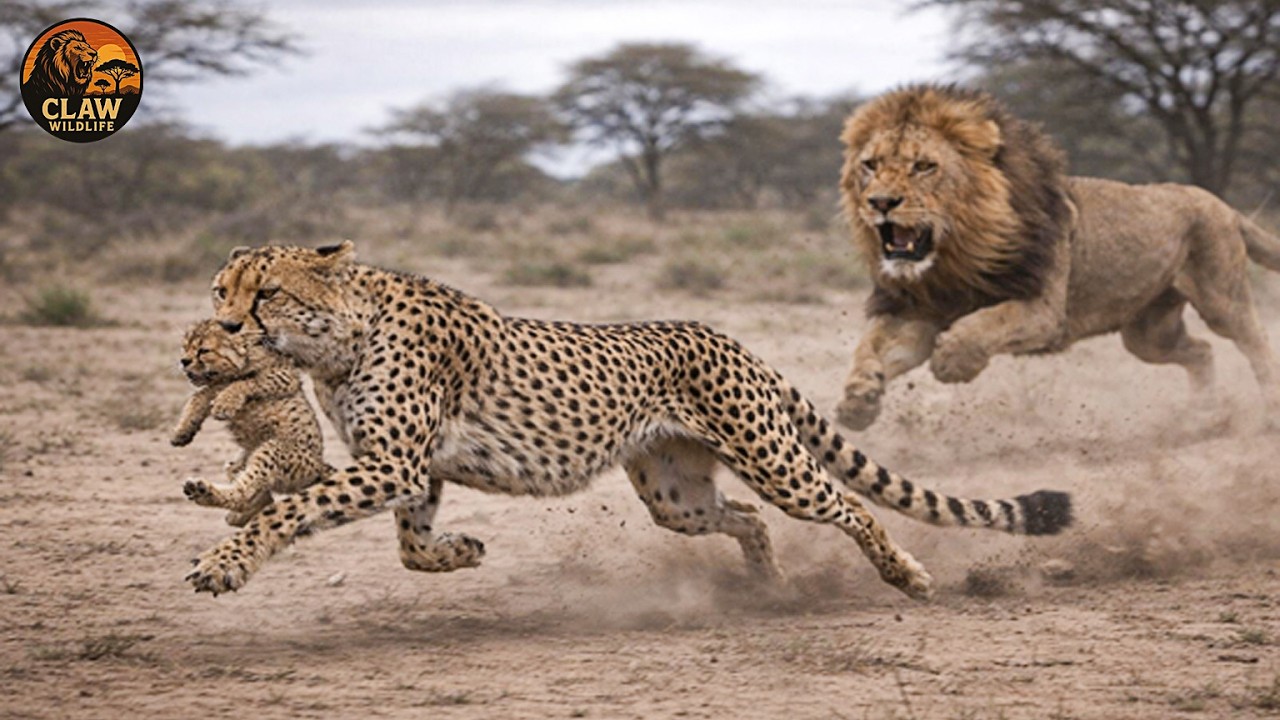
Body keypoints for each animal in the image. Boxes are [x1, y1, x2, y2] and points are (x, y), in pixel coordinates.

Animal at [171, 318, 331, 526]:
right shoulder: (215, 386)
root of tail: (319, 466)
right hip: (238, 463)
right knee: (260, 496)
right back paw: (237, 516)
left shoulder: (285, 376)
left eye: (203, 350)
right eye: (185, 348)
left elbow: (247, 382)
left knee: (244, 492)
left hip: (274, 449)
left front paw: (225, 403)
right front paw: (182, 432)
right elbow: (199, 396)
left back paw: (202, 492)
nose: (184, 361)